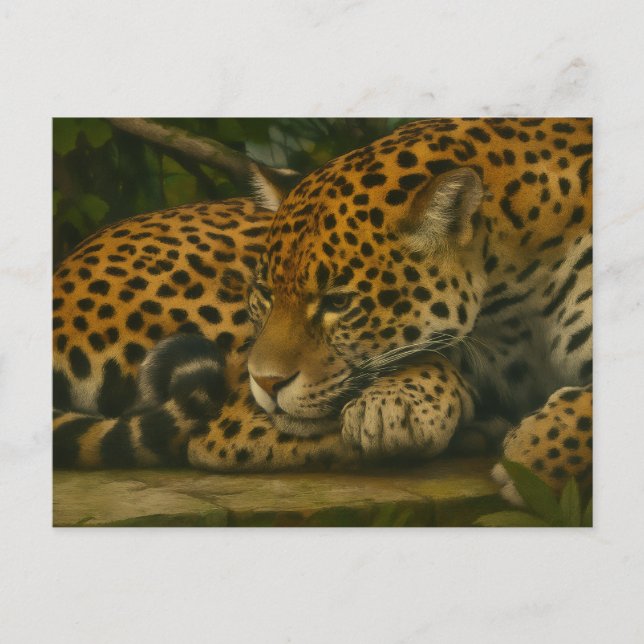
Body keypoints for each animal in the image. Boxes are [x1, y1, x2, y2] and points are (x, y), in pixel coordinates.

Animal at [53, 118, 592, 504]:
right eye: (265, 292)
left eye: (338, 302)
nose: (267, 383)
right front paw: (401, 406)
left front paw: (537, 452)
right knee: (220, 435)